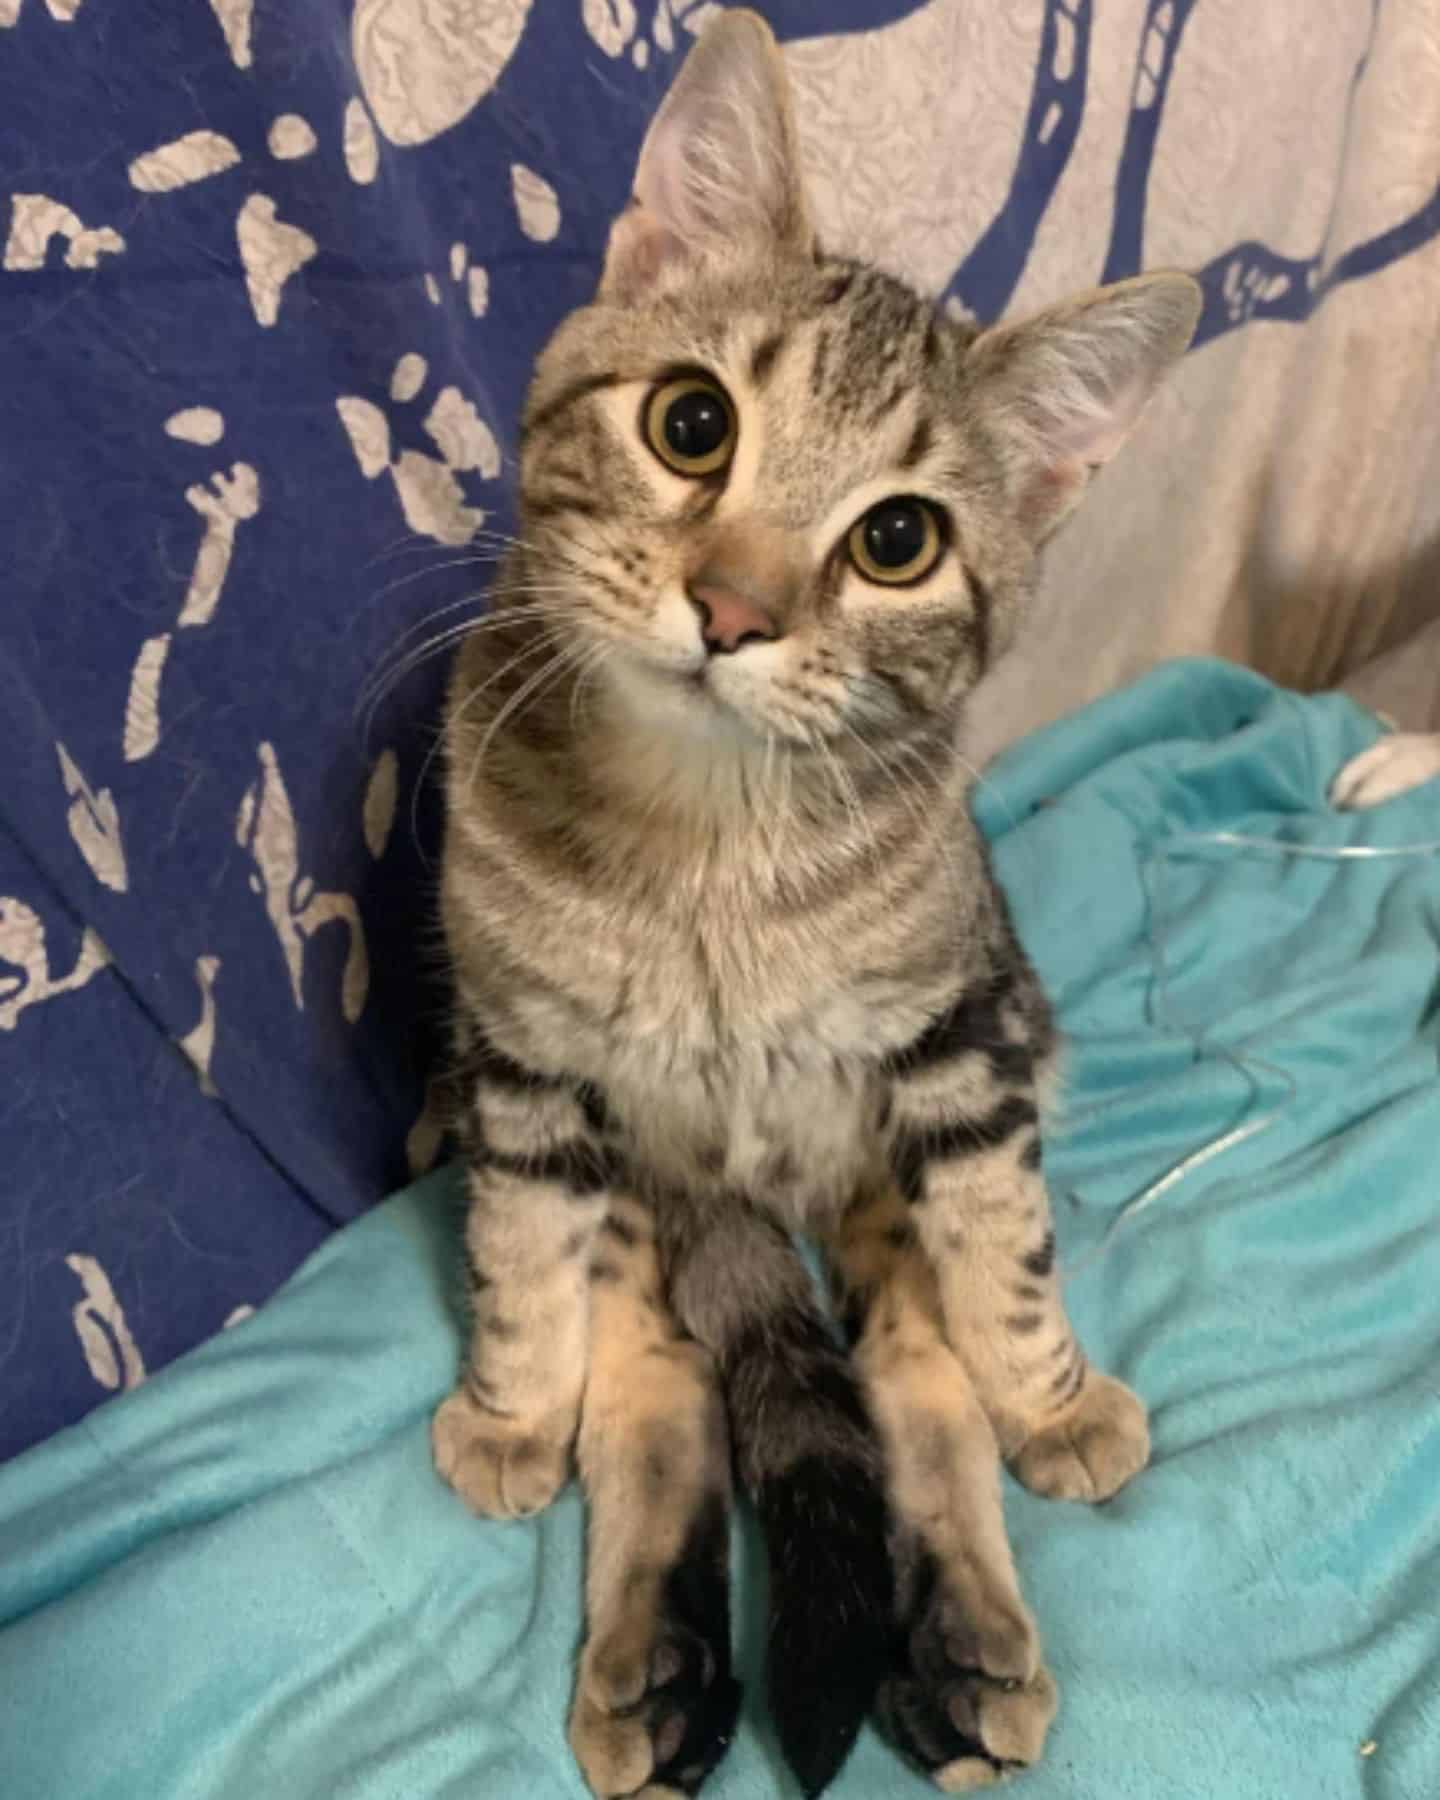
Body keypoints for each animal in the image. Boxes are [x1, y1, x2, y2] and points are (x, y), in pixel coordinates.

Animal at [433, 17, 1195, 1800]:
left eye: (898, 539)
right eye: (690, 423)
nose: (731, 609)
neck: (704, 847)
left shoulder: (958, 1052)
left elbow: (1002, 1262)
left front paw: (1051, 1395)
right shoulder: (521, 1071)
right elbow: (517, 1256)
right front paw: (509, 1406)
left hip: (899, 1141)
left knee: (911, 1372)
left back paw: (964, 1642)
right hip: (649, 1194)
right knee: (658, 1391)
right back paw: (657, 1665)